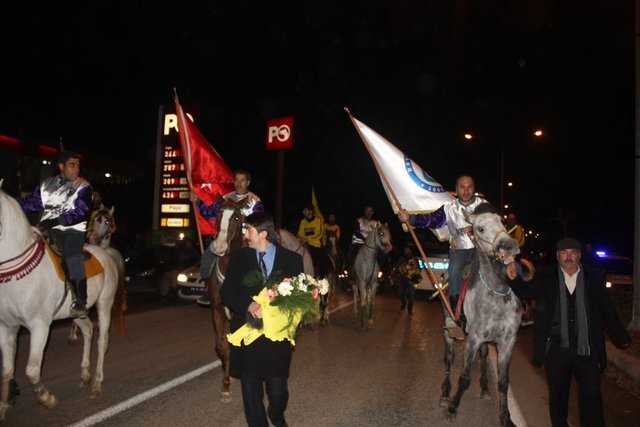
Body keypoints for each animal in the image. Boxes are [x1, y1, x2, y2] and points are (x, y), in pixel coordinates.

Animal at [0, 185, 126, 422]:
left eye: (106, 222)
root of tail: (105, 253)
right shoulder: (7, 327)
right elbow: (6, 371)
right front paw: (3, 407)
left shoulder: (39, 326)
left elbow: (32, 370)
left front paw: (48, 399)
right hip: (79, 311)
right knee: (88, 330)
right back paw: (85, 374)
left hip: (104, 304)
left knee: (102, 341)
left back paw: (96, 383)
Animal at [439, 204, 523, 426]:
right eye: (480, 228)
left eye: (502, 221)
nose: (509, 246)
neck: (497, 294)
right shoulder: (474, 338)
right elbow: (464, 378)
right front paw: (452, 407)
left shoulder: (507, 342)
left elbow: (503, 383)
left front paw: (506, 417)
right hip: (449, 332)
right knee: (448, 358)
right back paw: (445, 393)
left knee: (484, 356)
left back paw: (485, 387)